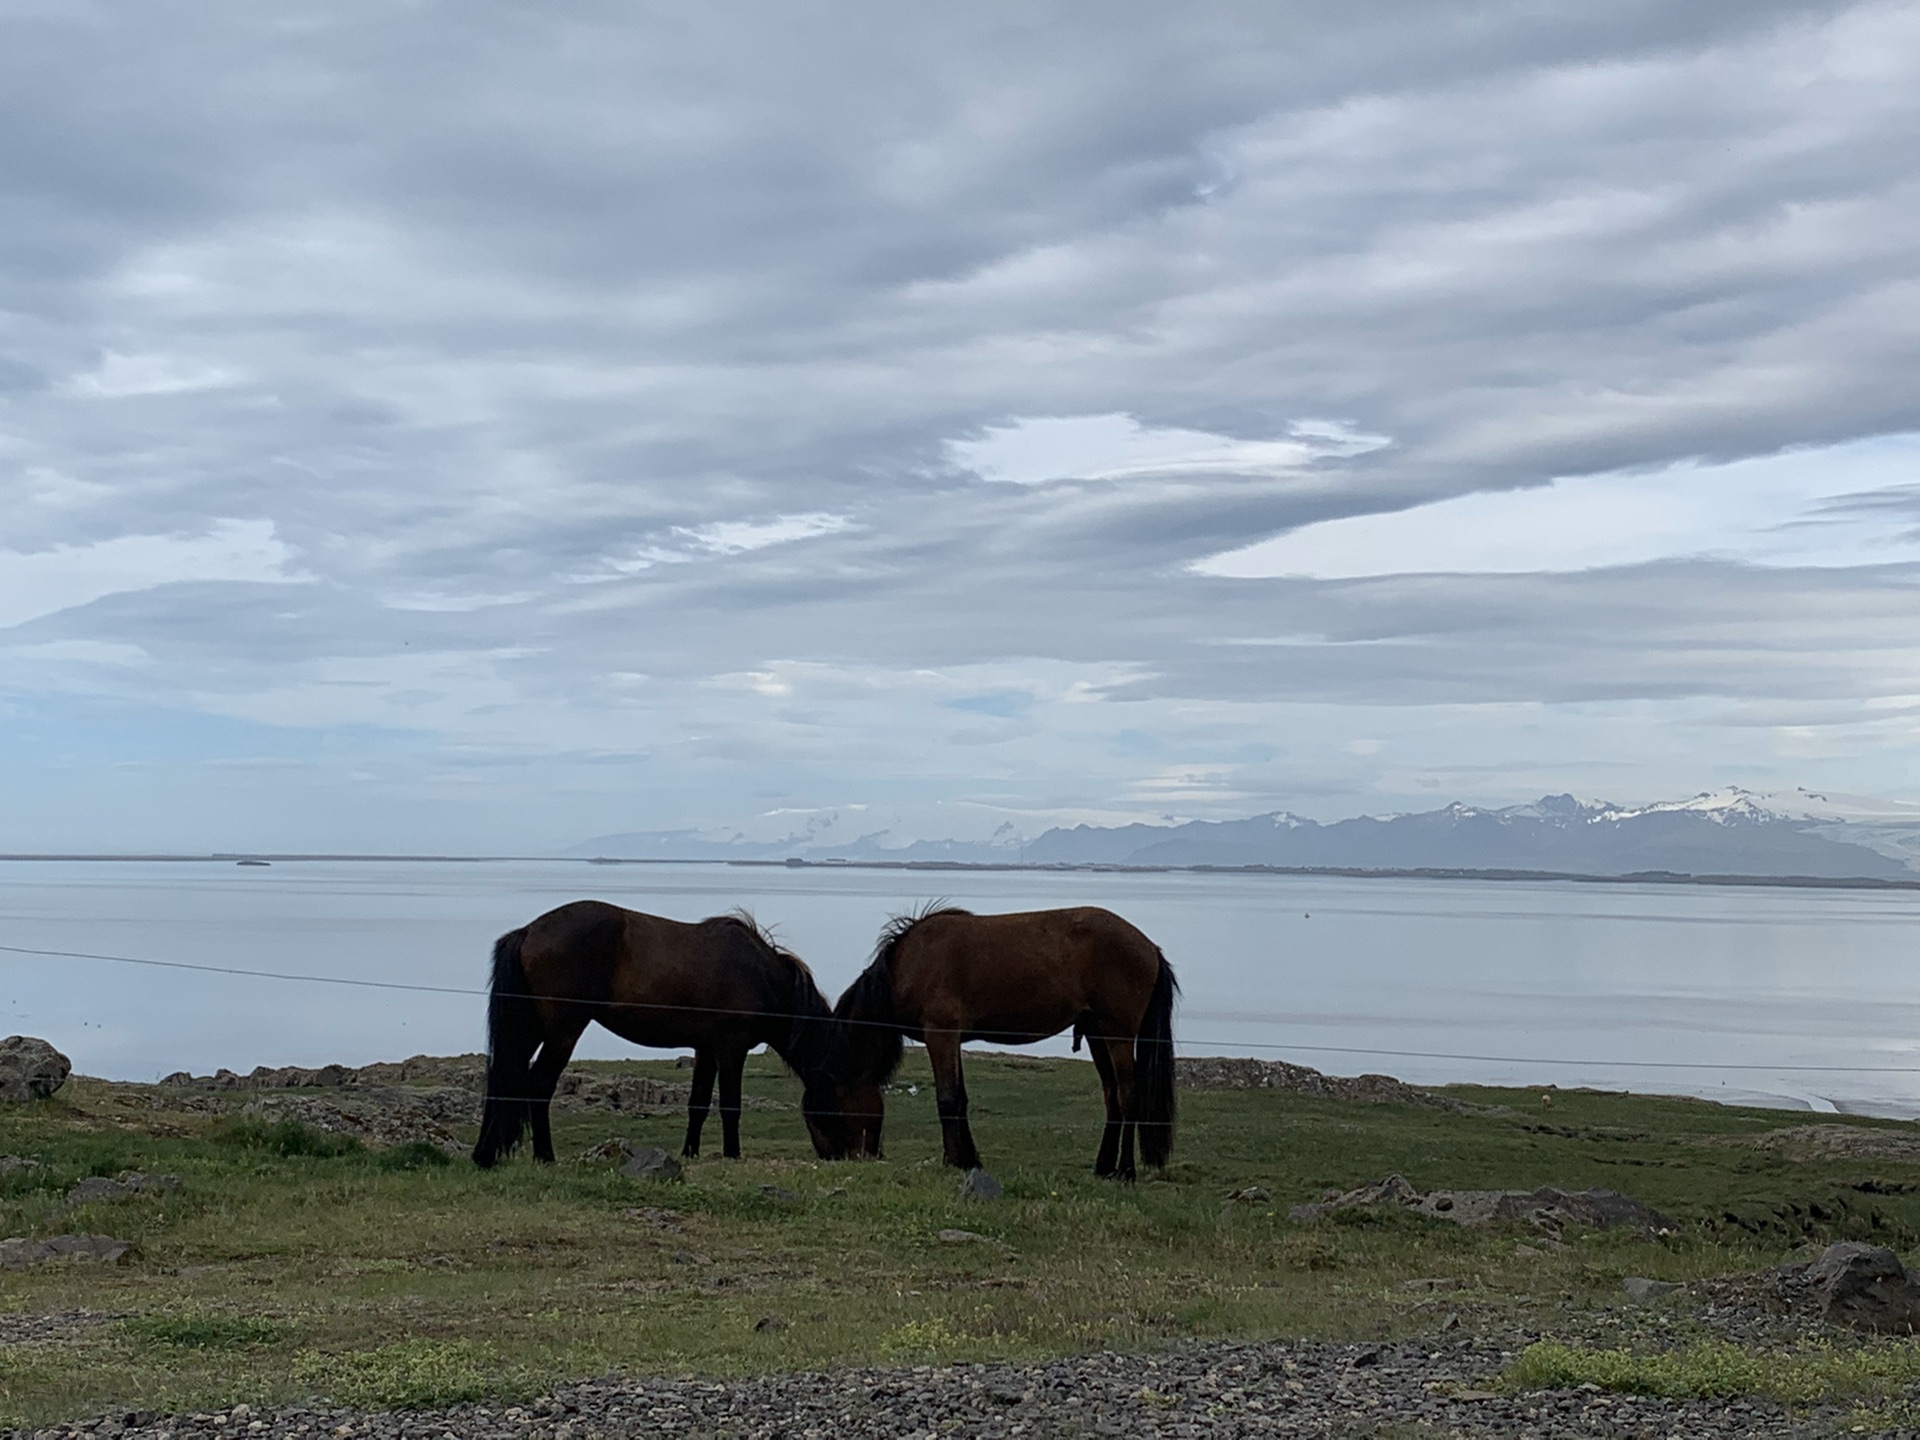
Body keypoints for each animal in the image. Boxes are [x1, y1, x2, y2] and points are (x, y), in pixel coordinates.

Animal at [468, 902, 844, 1175]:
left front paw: (690, 1152)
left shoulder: (706, 1049)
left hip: (530, 1030)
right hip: (563, 1032)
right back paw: (545, 1156)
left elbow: (698, 1104)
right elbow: (730, 1106)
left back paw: (487, 1153)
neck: (760, 974)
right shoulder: (731, 1048)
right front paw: (732, 1154)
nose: (841, 1155)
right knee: (540, 1084)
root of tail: (529, 931)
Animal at [821, 902, 1175, 1182]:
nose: (836, 1155)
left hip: (1118, 1033)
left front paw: (953, 1160)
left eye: (833, 1103)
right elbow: (960, 1099)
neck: (910, 965)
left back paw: (1126, 1170)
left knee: (1128, 1096)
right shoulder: (952, 1039)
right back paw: (1103, 1166)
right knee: (1111, 1095)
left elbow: (947, 1099)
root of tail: (1149, 947)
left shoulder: (941, 1034)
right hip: (1096, 1033)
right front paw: (969, 1159)